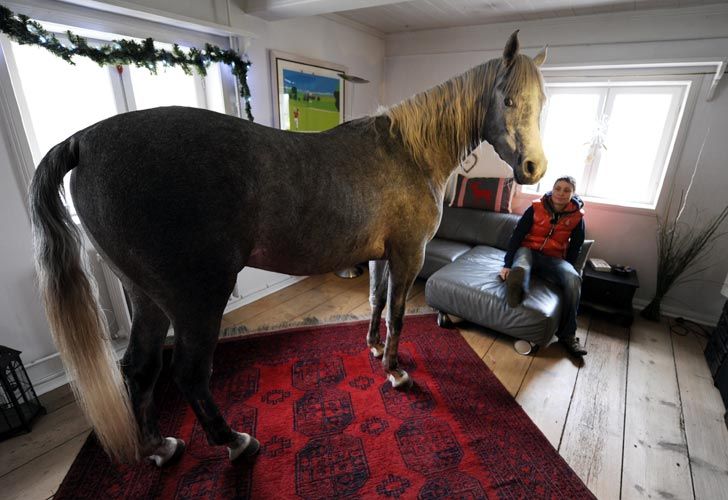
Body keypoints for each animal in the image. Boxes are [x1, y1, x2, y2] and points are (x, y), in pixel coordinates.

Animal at [29, 31, 547, 466]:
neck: (410, 152)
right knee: (188, 374)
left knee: (139, 370)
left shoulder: (382, 255)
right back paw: (236, 441)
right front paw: (396, 371)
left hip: (146, 297)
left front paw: (374, 348)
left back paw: (160, 447)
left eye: (541, 101)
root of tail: (85, 142)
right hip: (197, 298)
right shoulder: (409, 255)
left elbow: (376, 303)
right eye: (507, 98)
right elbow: (399, 313)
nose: (534, 168)